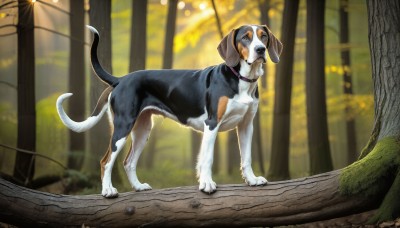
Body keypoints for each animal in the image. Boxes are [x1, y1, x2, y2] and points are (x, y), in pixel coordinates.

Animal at [56, 24, 282, 197]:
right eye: (245, 38)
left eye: (263, 36)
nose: (260, 50)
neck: (241, 79)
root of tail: (121, 79)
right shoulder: (212, 124)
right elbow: (207, 158)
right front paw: (207, 184)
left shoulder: (246, 126)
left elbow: (247, 158)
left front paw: (252, 180)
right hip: (123, 127)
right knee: (106, 161)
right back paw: (108, 190)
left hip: (142, 130)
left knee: (128, 162)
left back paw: (138, 187)